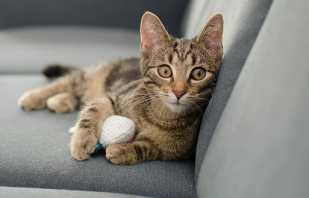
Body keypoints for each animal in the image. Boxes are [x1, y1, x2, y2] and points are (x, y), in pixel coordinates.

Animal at [18, 11, 223, 165]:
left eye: (198, 74)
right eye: (165, 71)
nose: (179, 92)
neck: (162, 116)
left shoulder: (173, 152)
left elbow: (147, 148)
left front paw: (122, 150)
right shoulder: (115, 96)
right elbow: (92, 110)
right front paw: (82, 141)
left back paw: (60, 101)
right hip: (94, 77)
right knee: (69, 81)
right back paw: (33, 97)